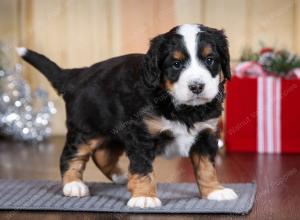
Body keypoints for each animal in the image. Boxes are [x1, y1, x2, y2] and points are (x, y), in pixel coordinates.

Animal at [17, 23, 238, 208]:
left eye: (210, 60)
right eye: (176, 64)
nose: (197, 86)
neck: (183, 109)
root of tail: (77, 75)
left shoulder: (206, 133)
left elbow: (206, 167)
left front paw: (214, 191)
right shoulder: (141, 135)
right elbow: (142, 167)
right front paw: (145, 197)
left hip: (113, 131)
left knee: (102, 155)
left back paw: (121, 177)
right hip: (85, 130)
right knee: (71, 156)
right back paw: (73, 185)